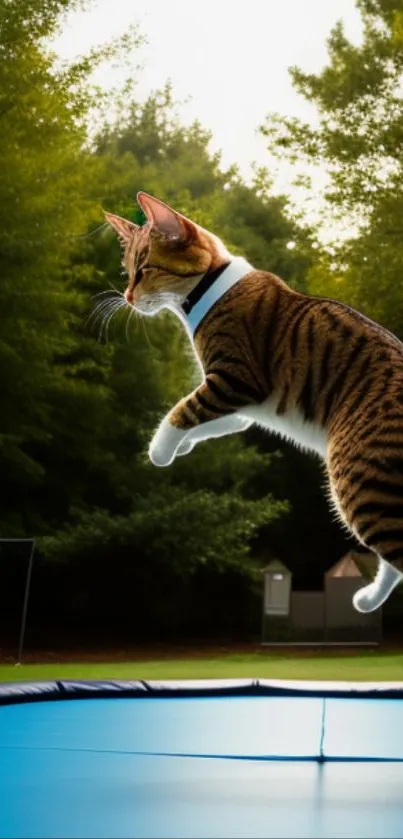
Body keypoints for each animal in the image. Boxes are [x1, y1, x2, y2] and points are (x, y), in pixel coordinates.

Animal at [105, 197, 403, 616]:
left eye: (145, 270)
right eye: (128, 271)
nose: (128, 298)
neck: (211, 290)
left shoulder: (235, 380)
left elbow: (181, 410)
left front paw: (160, 450)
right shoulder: (246, 408)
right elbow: (206, 421)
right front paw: (183, 445)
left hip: (359, 480)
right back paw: (369, 598)